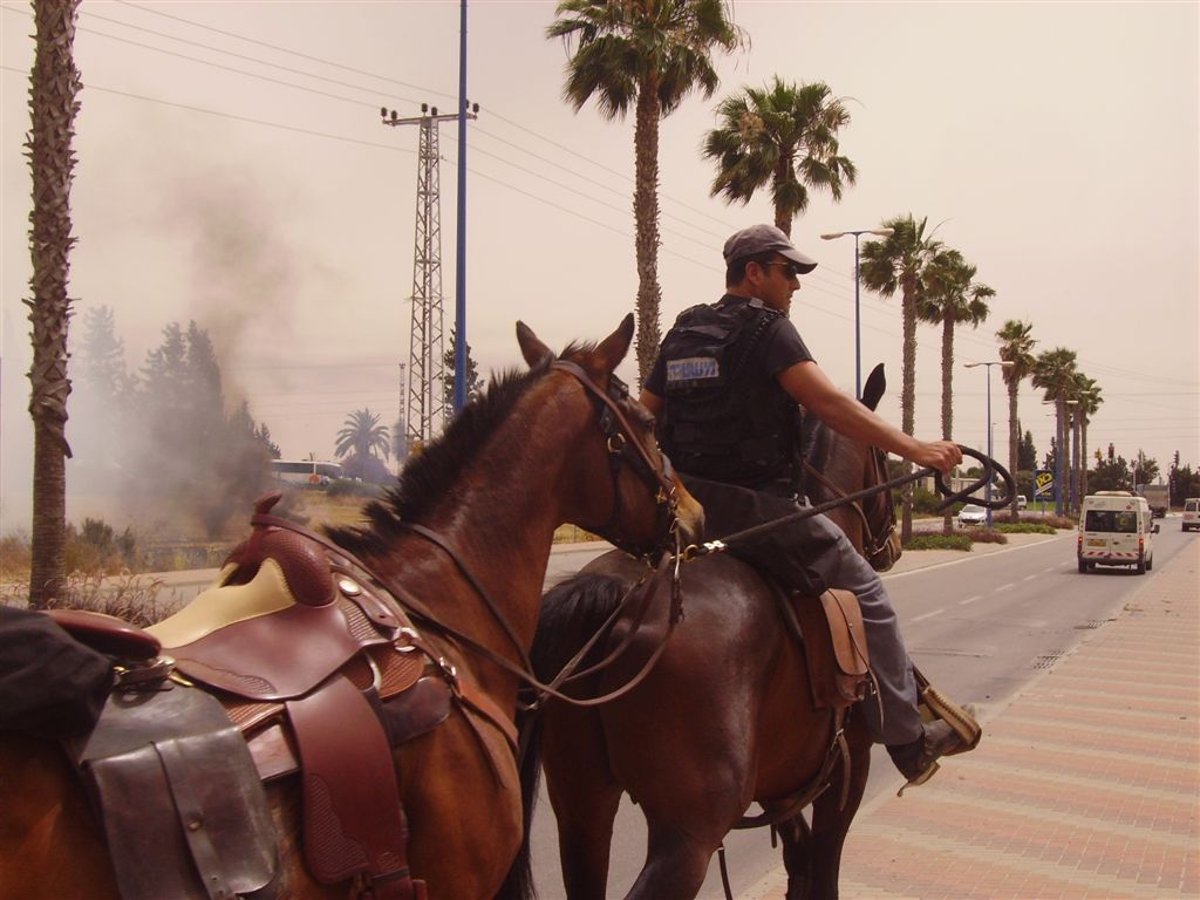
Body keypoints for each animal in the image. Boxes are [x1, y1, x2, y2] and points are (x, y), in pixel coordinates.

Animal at [516, 362, 902, 897]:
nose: (893, 545)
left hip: (581, 811)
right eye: (884, 456)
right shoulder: (849, 766)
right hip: (687, 836)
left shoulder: (777, 781)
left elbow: (799, 856)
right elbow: (823, 870)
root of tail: (621, 596)